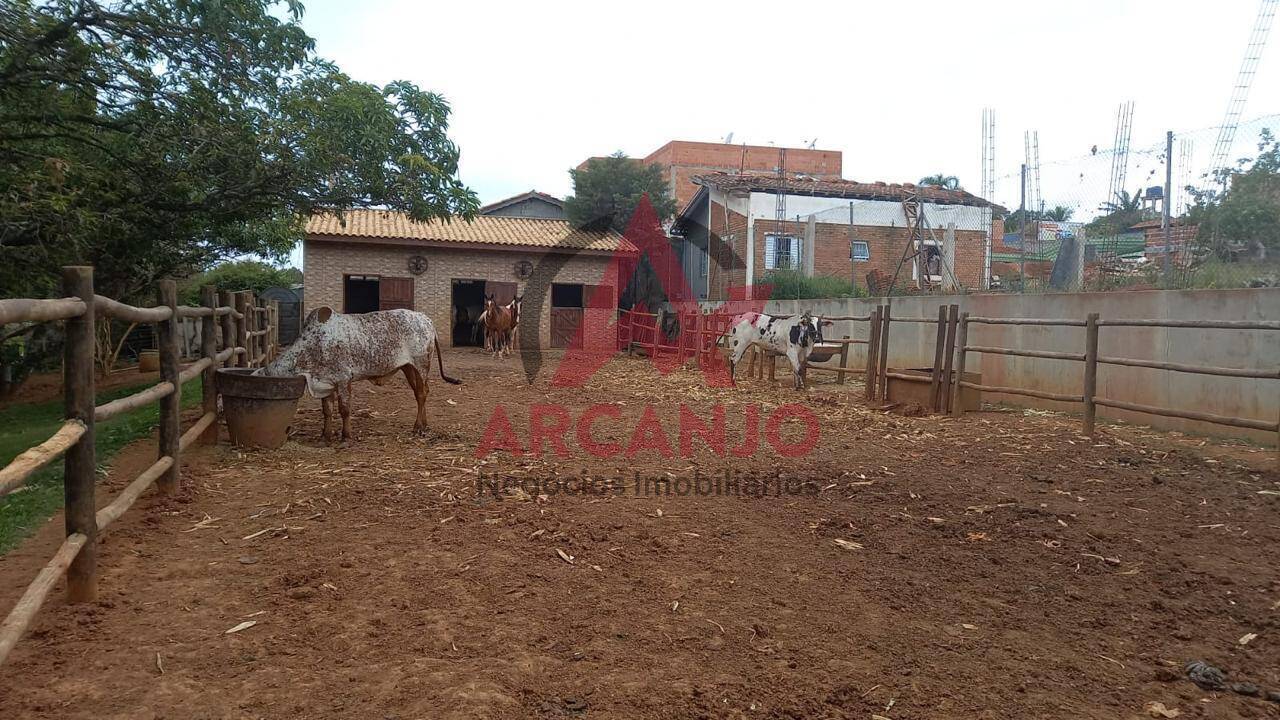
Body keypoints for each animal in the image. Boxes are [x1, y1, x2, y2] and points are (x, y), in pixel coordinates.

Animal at [254, 303, 460, 438]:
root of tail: (426, 319)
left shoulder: (344, 379)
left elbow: (345, 409)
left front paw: (346, 435)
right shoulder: (326, 382)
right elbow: (327, 411)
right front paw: (326, 435)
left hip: (421, 365)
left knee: (423, 393)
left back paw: (418, 427)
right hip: (408, 368)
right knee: (419, 393)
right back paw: (423, 426)